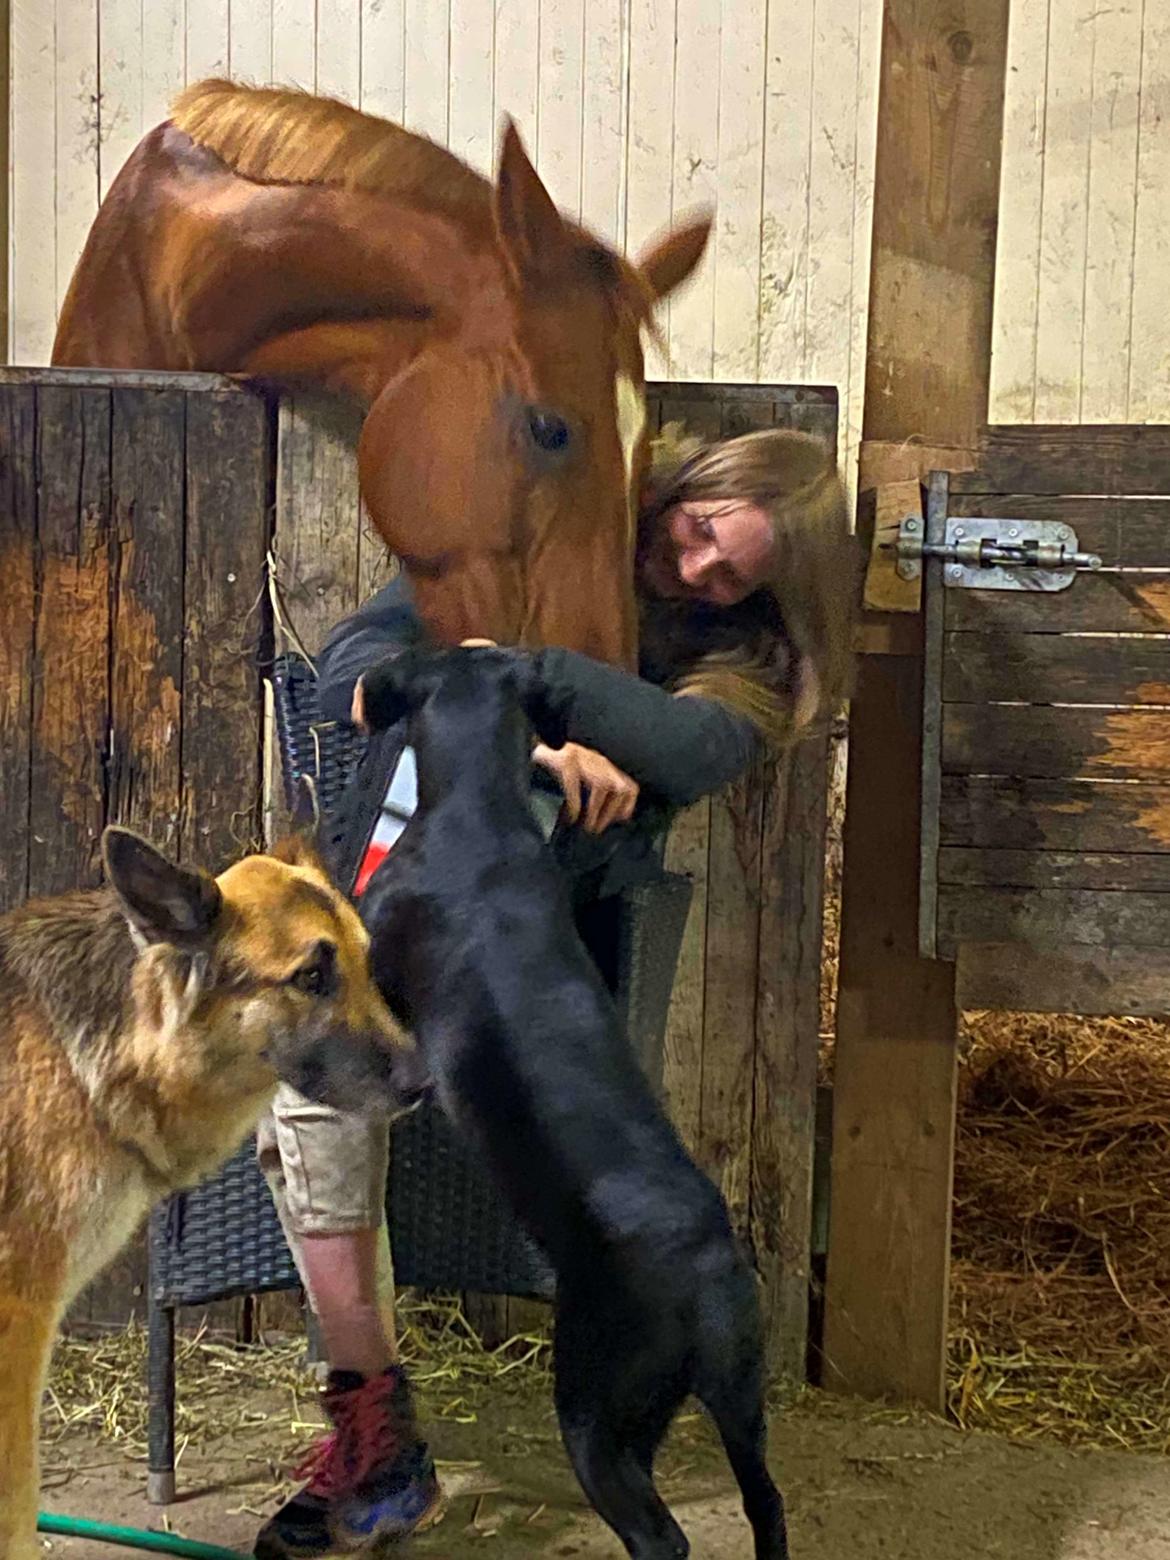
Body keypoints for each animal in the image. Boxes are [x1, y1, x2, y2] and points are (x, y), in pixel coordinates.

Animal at [361, 648, 792, 1560]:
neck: (480, 816)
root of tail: (710, 1279)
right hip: (738, 1402)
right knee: (766, 1502)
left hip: (596, 1408)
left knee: (663, 1538)